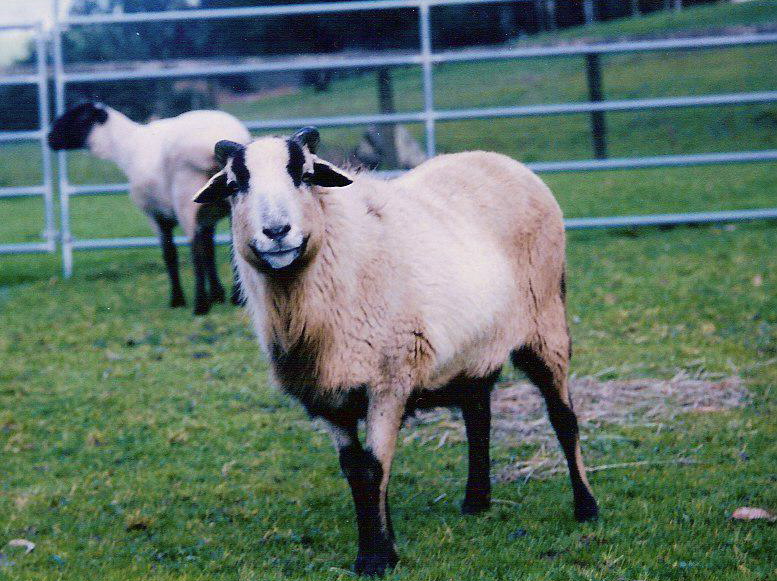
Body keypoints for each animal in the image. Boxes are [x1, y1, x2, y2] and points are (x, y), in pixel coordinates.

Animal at [48, 102, 251, 315]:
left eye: (79, 117)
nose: (50, 138)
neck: (127, 147)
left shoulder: (155, 215)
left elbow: (170, 253)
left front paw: (178, 300)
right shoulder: (208, 217)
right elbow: (210, 251)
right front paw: (218, 294)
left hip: (185, 201)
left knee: (195, 251)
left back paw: (200, 304)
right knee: (232, 247)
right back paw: (237, 297)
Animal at [193, 127, 599, 576]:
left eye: (305, 174)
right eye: (235, 185)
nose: (277, 230)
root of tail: (502, 160)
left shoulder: (389, 377)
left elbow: (374, 469)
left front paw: (375, 557)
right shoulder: (329, 393)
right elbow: (357, 470)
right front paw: (381, 543)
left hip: (546, 320)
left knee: (563, 417)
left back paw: (586, 506)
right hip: (474, 348)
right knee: (478, 416)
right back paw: (476, 500)